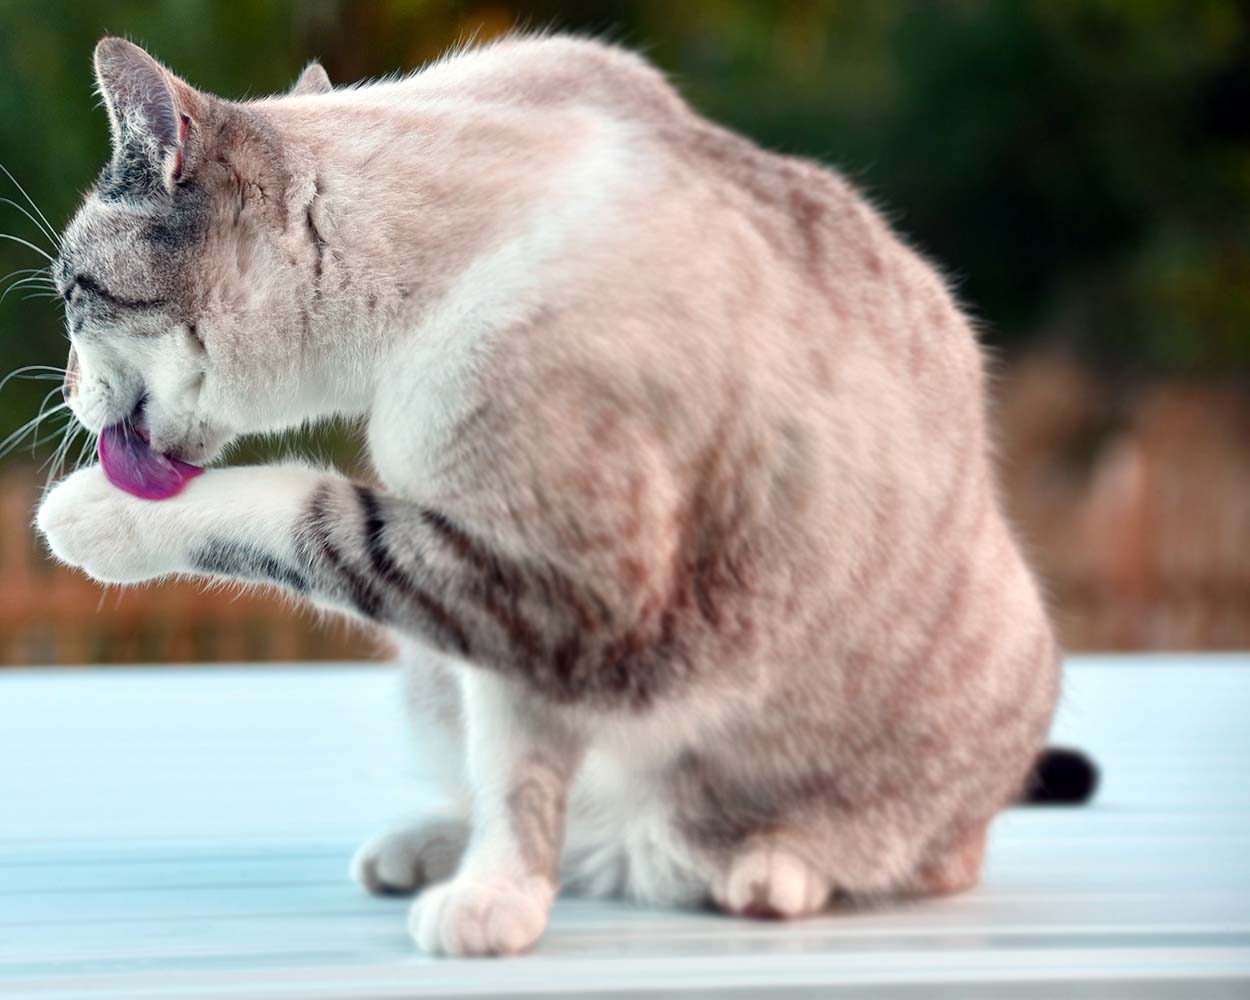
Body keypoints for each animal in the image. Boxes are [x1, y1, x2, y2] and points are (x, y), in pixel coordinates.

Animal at [36, 37, 1065, 960]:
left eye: (71, 292)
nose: (64, 391)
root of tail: (635, 858)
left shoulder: (564, 589)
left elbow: (299, 505)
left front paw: (84, 517)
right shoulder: (501, 619)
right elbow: (514, 781)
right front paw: (497, 902)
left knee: (921, 855)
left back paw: (771, 871)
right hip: (432, 676)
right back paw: (430, 852)